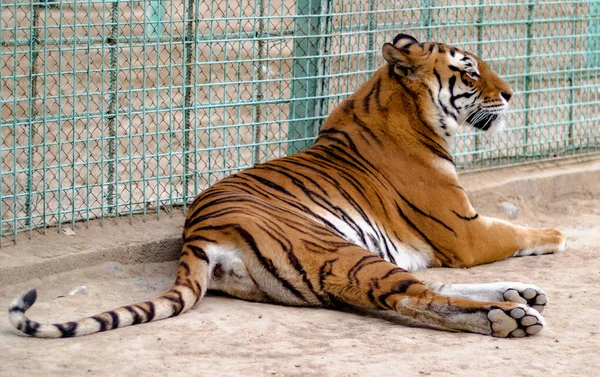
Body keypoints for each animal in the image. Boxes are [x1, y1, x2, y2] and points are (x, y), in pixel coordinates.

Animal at [8, 33, 568, 338]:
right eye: (469, 73)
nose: (511, 94)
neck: (397, 105)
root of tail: (198, 233)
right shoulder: (466, 231)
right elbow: (516, 231)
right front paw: (559, 235)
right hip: (339, 248)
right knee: (412, 297)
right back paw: (508, 316)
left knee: (418, 289)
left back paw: (518, 294)